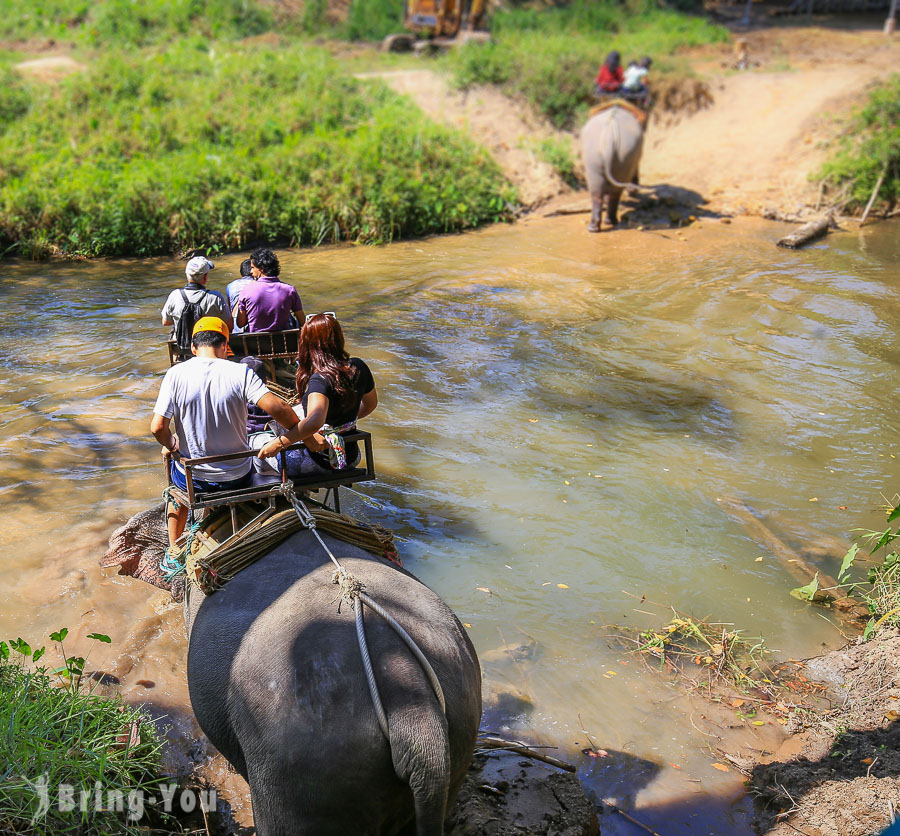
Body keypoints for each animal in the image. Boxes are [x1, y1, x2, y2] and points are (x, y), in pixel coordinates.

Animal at [580, 107, 644, 235]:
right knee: (613, 192)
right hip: (623, 154)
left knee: (598, 191)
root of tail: (609, 135)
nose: (634, 191)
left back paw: (594, 228)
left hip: (595, 154)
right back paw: (611, 222)